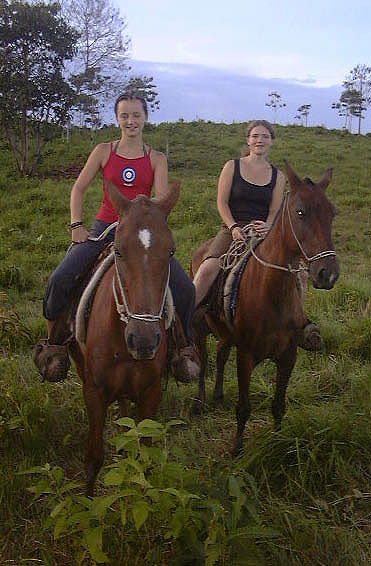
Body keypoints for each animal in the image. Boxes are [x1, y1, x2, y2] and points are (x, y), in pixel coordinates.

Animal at [71, 182, 180, 496]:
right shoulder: (94, 393)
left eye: (171, 252)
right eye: (118, 251)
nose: (143, 341)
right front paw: (87, 501)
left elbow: (145, 454)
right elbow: (93, 458)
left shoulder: (151, 393)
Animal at [192, 163, 340, 458]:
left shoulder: (288, 356)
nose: (327, 273)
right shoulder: (246, 356)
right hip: (201, 326)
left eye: (332, 213)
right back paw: (201, 402)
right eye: (300, 211)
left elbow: (278, 405)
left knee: (220, 354)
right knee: (204, 359)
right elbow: (244, 408)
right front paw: (237, 449)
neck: (272, 295)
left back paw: (218, 397)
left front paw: (279, 442)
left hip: (225, 332)